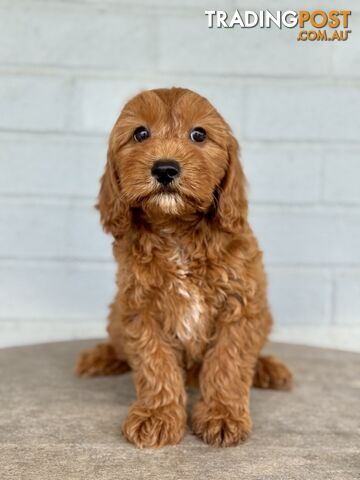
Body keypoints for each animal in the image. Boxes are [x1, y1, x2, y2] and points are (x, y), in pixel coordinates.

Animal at [74, 88, 292, 448]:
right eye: (140, 134)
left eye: (199, 135)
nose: (165, 169)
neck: (176, 231)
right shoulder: (140, 309)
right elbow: (154, 363)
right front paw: (157, 415)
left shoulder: (240, 304)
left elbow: (228, 362)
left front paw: (222, 414)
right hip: (116, 314)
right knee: (118, 343)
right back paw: (100, 357)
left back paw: (268, 369)